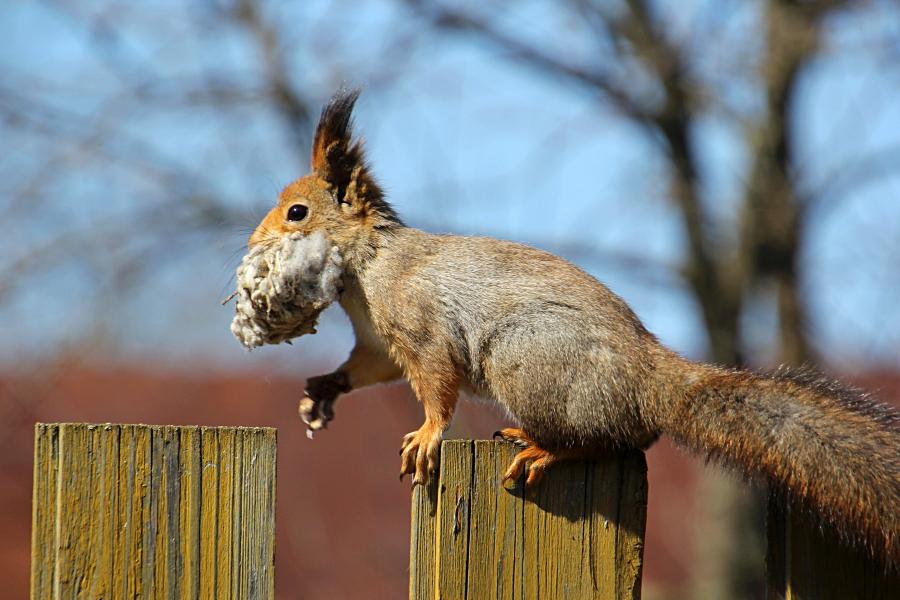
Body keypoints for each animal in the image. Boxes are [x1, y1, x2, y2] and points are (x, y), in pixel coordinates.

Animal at [246, 90, 900, 568]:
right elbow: (365, 368)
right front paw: (321, 391)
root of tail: (651, 382)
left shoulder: (420, 326)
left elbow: (436, 383)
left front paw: (428, 434)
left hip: (528, 361)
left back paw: (544, 447)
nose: (254, 242)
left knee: (612, 441)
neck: (367, 268)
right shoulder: (378, 343)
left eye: (297, 212)